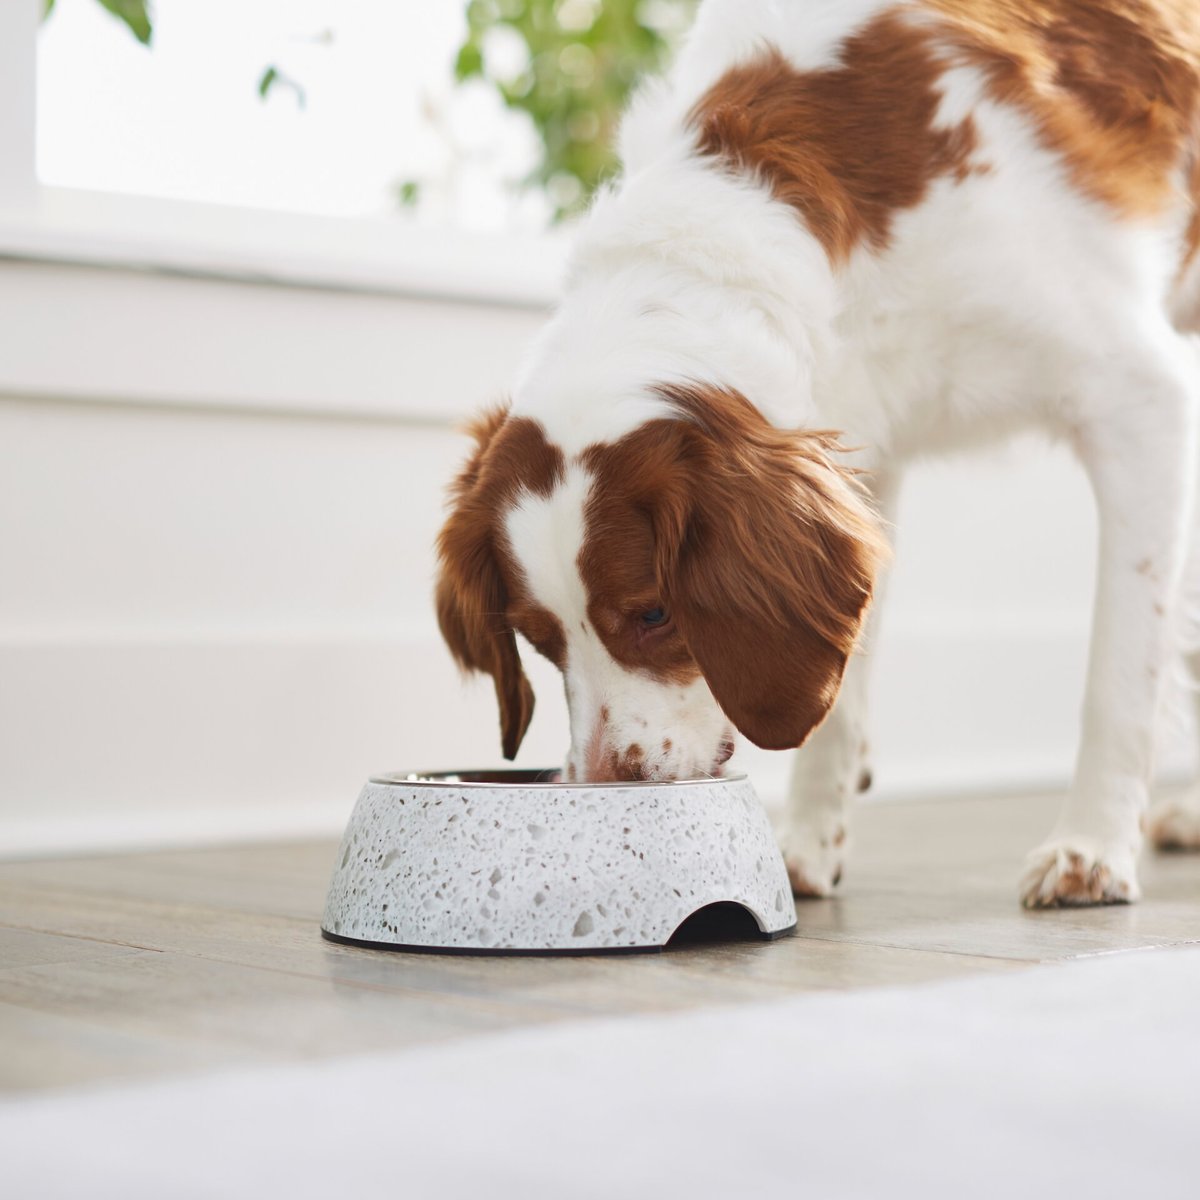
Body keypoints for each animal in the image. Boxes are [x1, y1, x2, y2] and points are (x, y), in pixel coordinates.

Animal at [436, 0, 1200, 902]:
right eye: (538, 636)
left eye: (656, 613)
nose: (602, 785)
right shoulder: (861, 442)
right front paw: (804, 843)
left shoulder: (1139, 396)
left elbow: (1120, 670)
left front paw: (1090, 848)